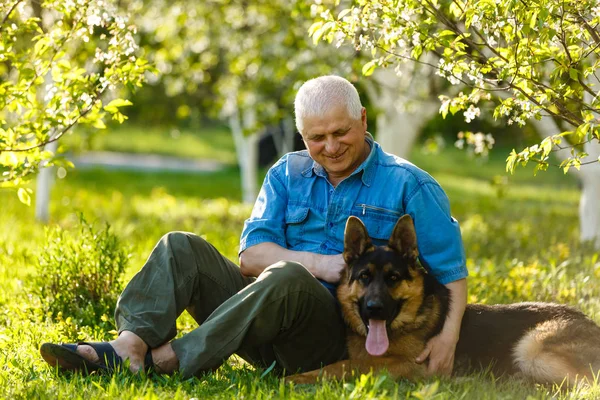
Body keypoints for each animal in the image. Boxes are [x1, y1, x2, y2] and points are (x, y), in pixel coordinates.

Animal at [288, 216, 600, 384]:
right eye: (364, 277)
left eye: (393, 278)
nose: (375, 309)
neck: (409, 320)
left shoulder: (404, 365)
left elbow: (347, 365)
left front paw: (298, 378)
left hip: (533, 349)